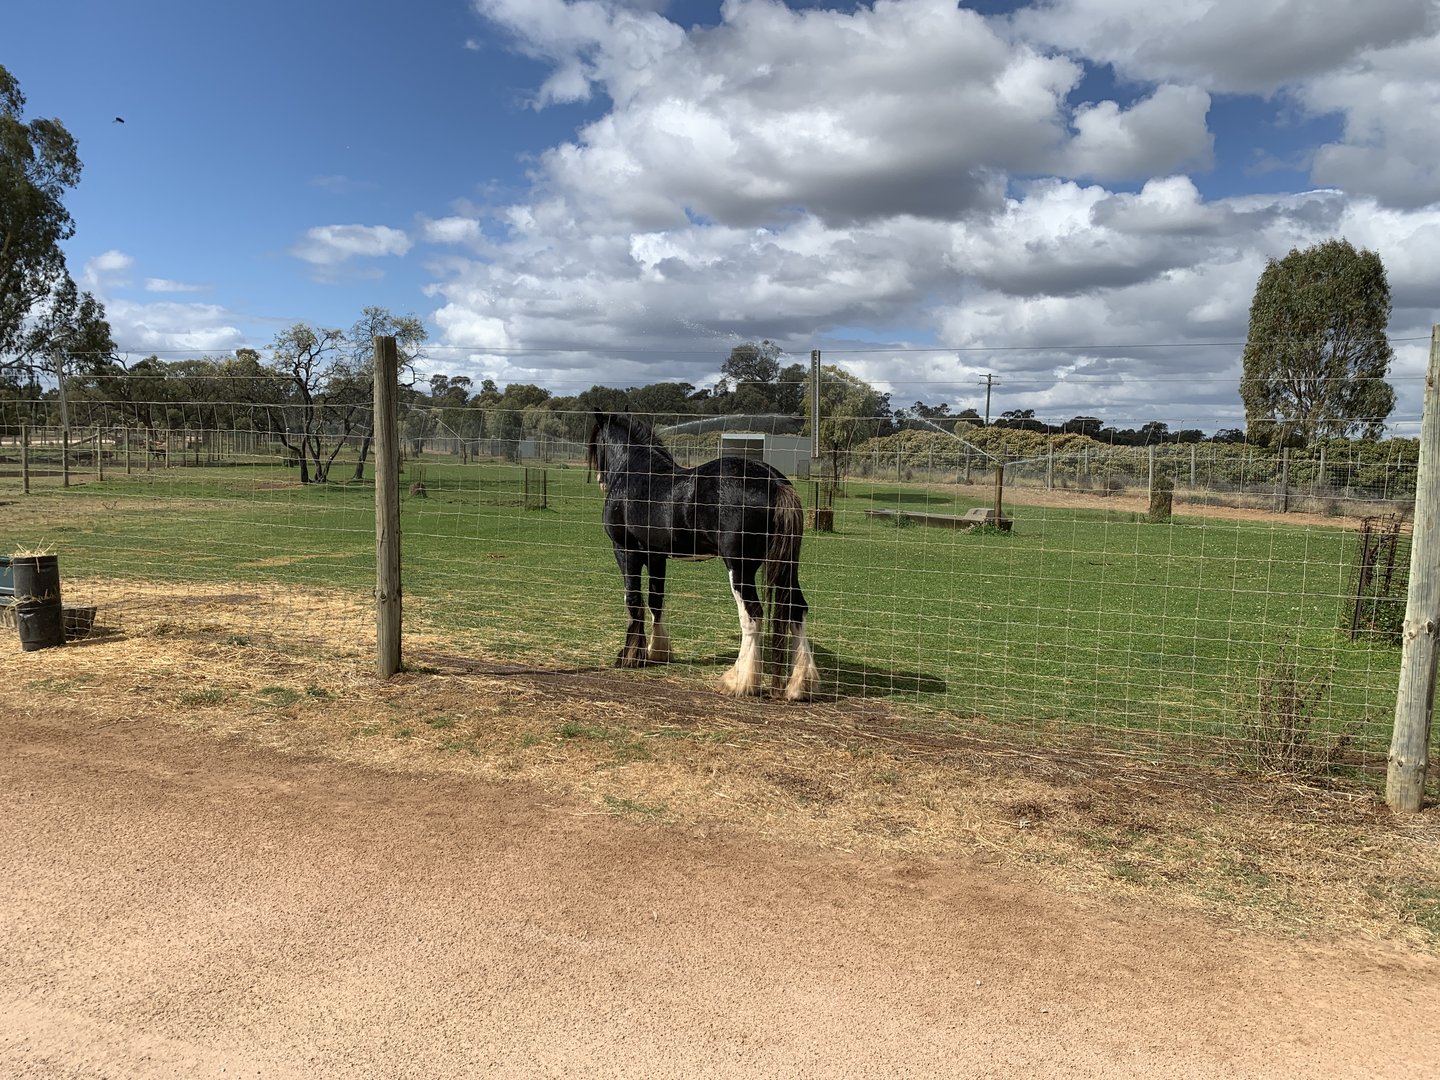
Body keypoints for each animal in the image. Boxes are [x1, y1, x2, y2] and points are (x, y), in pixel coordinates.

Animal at [586, 412, 820, 701]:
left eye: (596, 441)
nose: (599, 479)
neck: (636, 473)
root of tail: (774, 482)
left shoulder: (625, 551)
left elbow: (633, 600)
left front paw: (629, 656)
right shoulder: (657, 556)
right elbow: (655, 601)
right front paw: (657, 651)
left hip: (740, 569)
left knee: (752, 616)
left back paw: (738, 681)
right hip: (786, 567)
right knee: (797, 609)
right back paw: (799, 685)